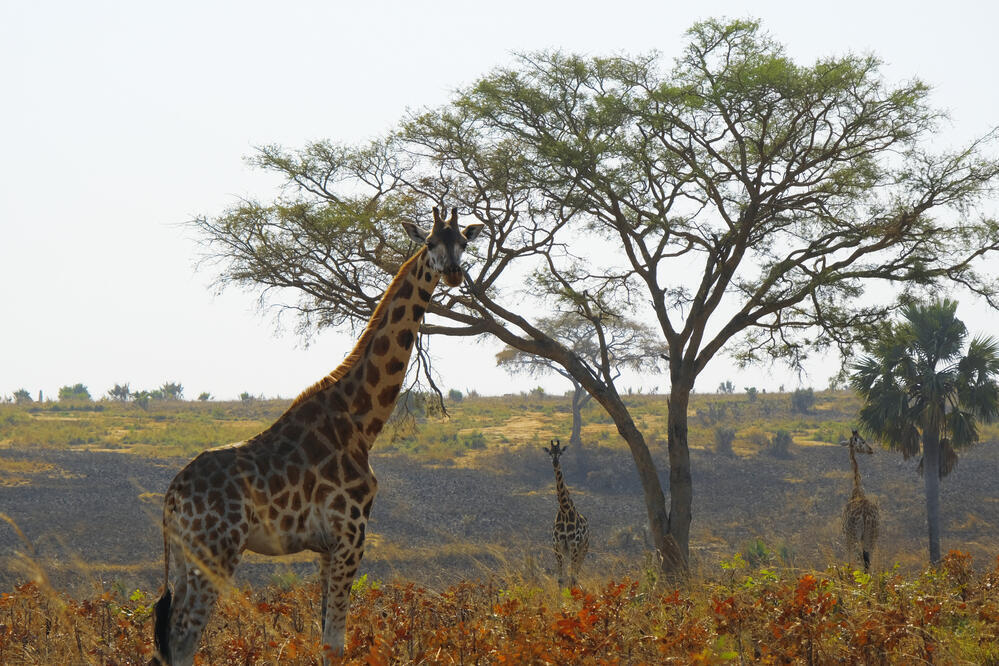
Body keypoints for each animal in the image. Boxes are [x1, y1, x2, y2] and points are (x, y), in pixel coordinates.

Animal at [152, 207, 484, 666]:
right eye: (431, 242)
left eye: (464, 243)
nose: (452, 272)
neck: (362, 421)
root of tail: (172, 496)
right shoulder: (351, 535)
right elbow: (335, 643)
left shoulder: (326, 547)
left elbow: (325, 638)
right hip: (216, 549)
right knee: (185, 638)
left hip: (186, 557)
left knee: (168, 640)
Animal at [544, 439, 589, 588]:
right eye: (550, 453)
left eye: (561, 453)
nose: (555, 462)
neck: (564, 510)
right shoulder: (557, 546)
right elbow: (560, 579)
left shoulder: (574, 545)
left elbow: (571, 578)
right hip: (568, 551)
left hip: (583, 549)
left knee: (576, 575)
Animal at [842, 429, 880, 572]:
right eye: (862, 441)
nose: (871, 450)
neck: (857, 488)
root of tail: (865, 515)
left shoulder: (846, 537)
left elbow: (849, 562)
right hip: (872, 536)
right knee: (868, 564)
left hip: (855, 537)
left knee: (860, 561)